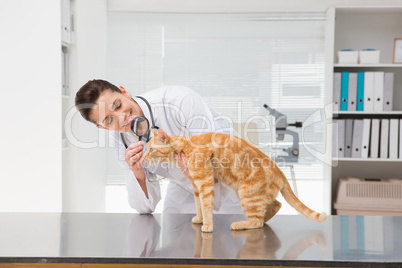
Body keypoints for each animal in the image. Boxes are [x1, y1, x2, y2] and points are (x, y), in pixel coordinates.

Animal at [144, 128, 326, 232]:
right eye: (146, 149)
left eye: (151, 149)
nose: (144, 157)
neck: (185, 146)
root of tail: (279, 171)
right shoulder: (196, 186)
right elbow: (198, 205)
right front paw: (200, 219)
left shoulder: (205, 183)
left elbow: (206, 205)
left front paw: (207, 225)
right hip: (249, 193)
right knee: (275, 205)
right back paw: (265, 218)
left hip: (247, 193)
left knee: (257, 222)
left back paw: (241, 224)